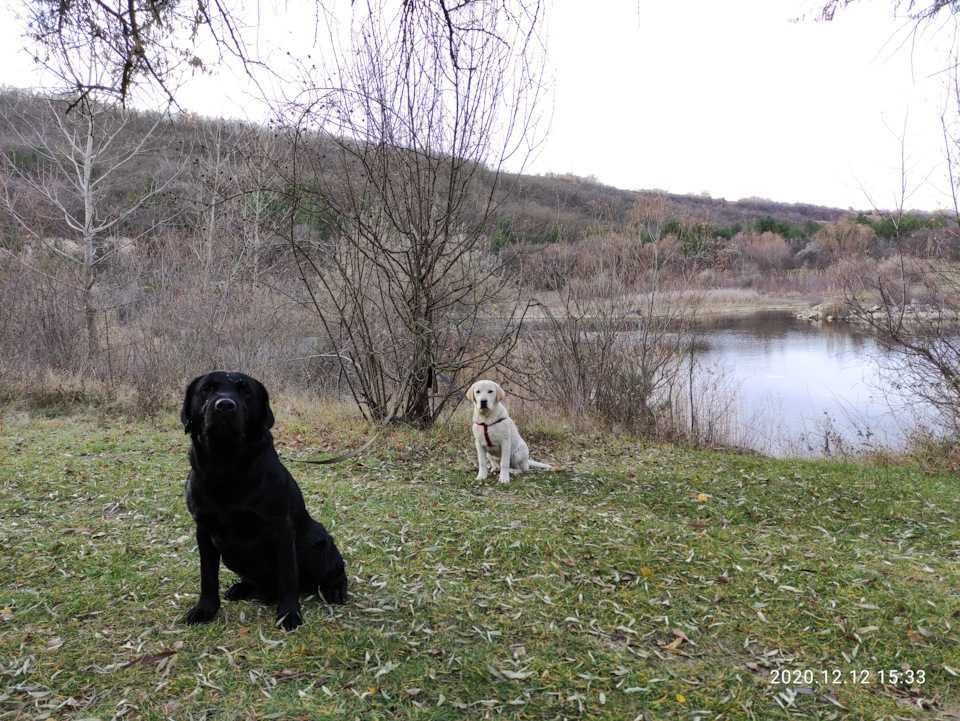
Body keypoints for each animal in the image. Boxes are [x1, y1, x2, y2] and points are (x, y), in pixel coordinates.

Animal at [180, 371, 347, 631]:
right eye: (207, 389)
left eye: (245, 391)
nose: (225, 405)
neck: (226, 468)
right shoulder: (204, 530)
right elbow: (208, 576)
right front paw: (205, 609)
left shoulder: (281, 529)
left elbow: (288, 577)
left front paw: (289, 614)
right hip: (229, 554)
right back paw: (242, 588)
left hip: (318, 547)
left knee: (336, 571)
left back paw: (336, 589)